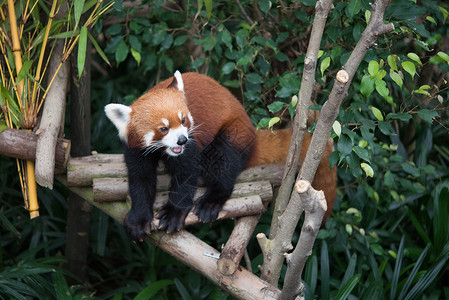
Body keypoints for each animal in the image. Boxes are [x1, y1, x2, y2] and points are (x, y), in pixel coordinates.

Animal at [105, 71, 336, 241]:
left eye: (183, 120)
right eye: (163, 128)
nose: (181, 140)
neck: (162, 151)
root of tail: (253, 136)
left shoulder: (192, 144)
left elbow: (186, 176)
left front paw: (174, 213)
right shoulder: (136, 150)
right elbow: (141, 181)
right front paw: (138, 220)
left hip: (231, 135)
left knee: (223, 163)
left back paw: (212, 201)